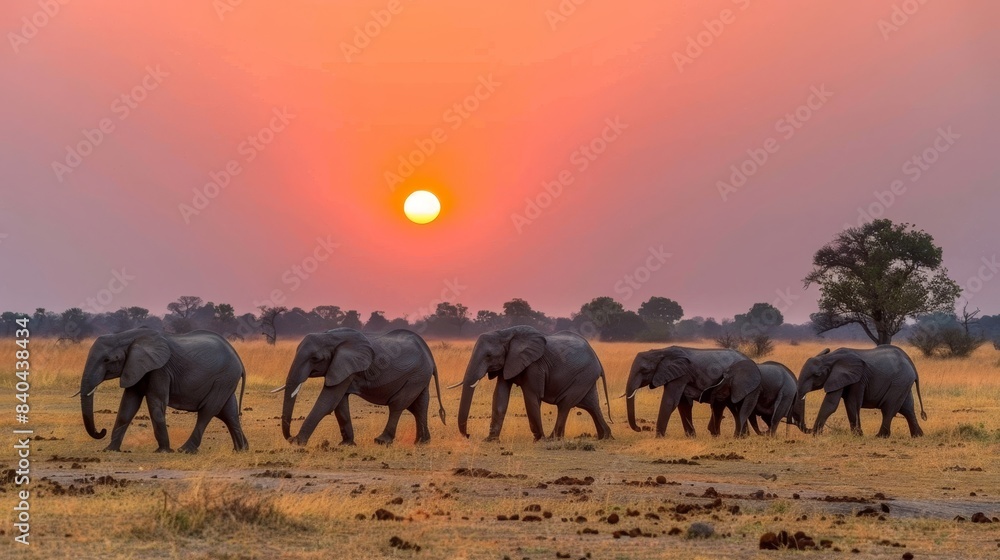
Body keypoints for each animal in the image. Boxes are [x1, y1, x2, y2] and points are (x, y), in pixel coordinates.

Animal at [78, 330, 248, 452]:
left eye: (106, 360)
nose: (102, 431)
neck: (128, 336)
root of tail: (239, 359)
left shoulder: (160, 369)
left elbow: (156, 401)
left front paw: (164, 451)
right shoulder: (134, 367)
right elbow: (128, 404)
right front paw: (110, 450)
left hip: (224, 377)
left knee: (208, 411)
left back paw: (184, 450)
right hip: (226, 380)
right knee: (228, 413)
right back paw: (241, 449)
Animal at [278, 328, 442, 446]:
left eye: (315, 358)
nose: (289, 437)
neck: (330, 336)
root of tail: (430, 355)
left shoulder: (346, 365)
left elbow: (327, 402)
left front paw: (298, 443)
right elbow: (340, 404)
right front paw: (346, 444)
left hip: (416, 375)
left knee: (398, 404)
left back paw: (381, 441)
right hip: (420, 376)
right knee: (419, 406)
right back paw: (422, 443)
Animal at [458, 324, 612, 442]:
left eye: (488, 356)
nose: (468, 435)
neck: (505, 333)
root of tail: (596, 357)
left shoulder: (535, 365)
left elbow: (531, 396)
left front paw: (539, 439)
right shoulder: (508, 363)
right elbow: (500, 396)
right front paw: (490, 440)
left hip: (583, 375)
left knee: (565, 404)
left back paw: (552, 439)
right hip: (586, 377)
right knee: (590, 405)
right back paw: (604, 437)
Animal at [624, 346, 752, 438]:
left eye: (644, 370)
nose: (639, 429)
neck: (661, 351)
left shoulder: (680, 375)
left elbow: (670, 402)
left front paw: (658, 437)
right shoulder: (678, 376)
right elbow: (683, 404)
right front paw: (691, 436)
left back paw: (740, 436)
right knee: (735, 407)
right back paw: (741, 436)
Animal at [796, 346, 928, 438]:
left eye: (817, 375)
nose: (809, 429)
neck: (830, 358)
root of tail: (910, 363)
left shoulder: (857, 378)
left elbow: (837, 404)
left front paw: (816, 435)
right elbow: (846, 404)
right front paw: (856, 435)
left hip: (899, 382)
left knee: (889, 408)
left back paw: (880, 436)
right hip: (903, 382)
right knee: (907, 408)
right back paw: (918, 436)